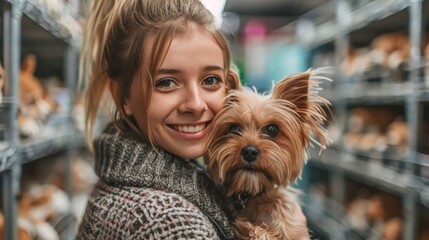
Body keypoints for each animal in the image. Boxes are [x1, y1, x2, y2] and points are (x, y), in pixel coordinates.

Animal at [204, 68, 332, 239]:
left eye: (272, 129)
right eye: (234, 128)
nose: (249, 152)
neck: (251, 194)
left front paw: (249, 228)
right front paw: (247, 227)